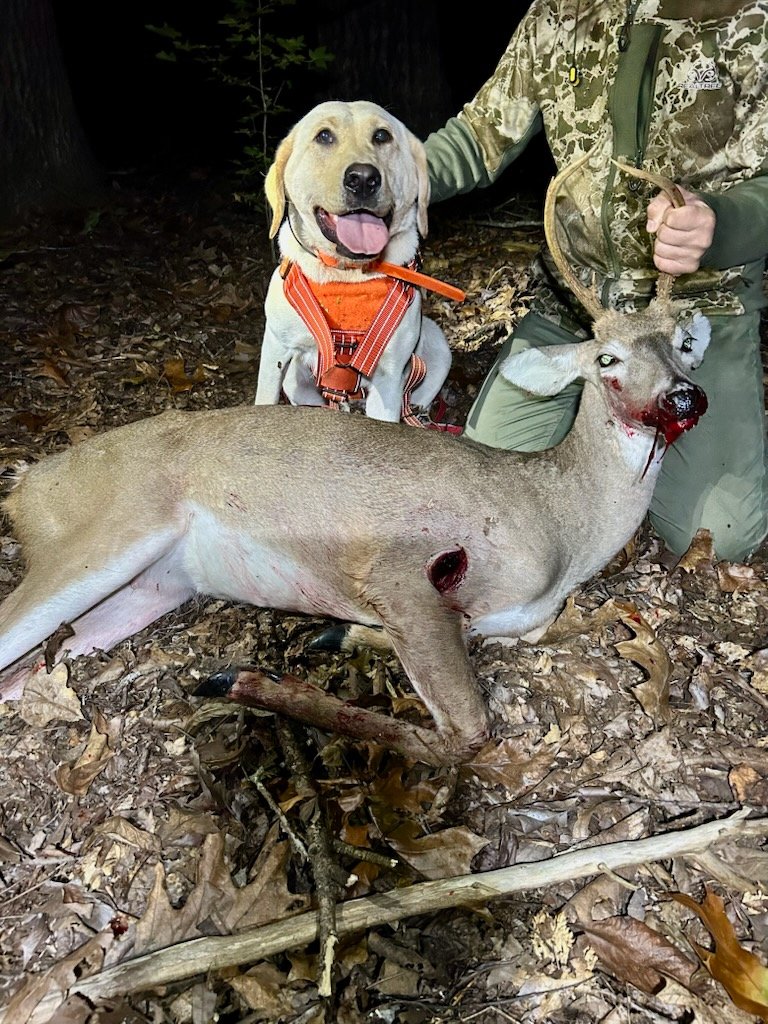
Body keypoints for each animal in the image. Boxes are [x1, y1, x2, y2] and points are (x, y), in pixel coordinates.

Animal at [0, 153, 709, 767]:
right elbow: (465, 732)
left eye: (682, 345)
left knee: (26, 673)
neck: (560, 521)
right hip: (108, 531)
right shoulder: (398, 568)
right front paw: (246, 677)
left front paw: (333, 636)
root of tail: (25, 484)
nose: (683, 396)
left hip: (152, 586)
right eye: (606, 358)